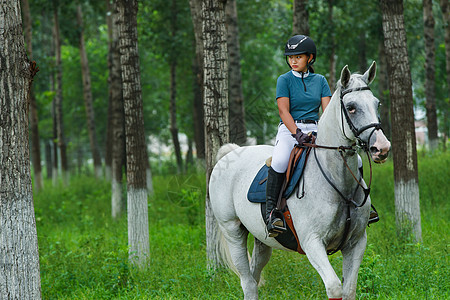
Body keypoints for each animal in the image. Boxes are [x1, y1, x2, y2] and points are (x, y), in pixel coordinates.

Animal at [209, 61, 392, 300]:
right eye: (351, 107)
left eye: (376, 104)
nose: (382, 148)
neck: (338, 183)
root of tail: (230, 154)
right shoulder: (312, 243)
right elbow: (334, 287)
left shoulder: (356, 243)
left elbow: (349, 289)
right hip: (232, 230)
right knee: (247, 282)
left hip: (262, 238)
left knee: (254, 277)